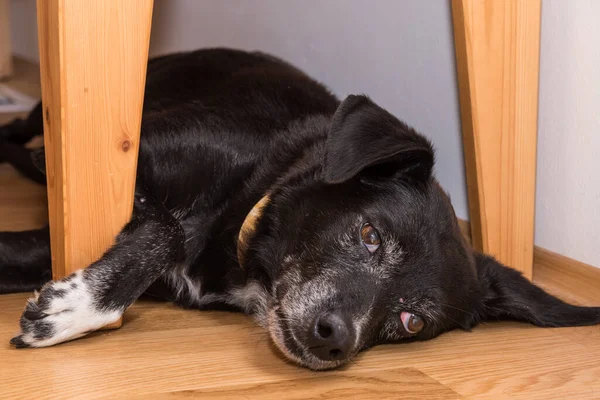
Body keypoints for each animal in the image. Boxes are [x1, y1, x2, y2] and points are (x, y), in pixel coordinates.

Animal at [0, 48, 596, 370]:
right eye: (370, 235)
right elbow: (167, 229)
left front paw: (76, 302)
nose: (334, 339)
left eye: (411, 322)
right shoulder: (129, 158)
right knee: (25, 131)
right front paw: (76, 309)